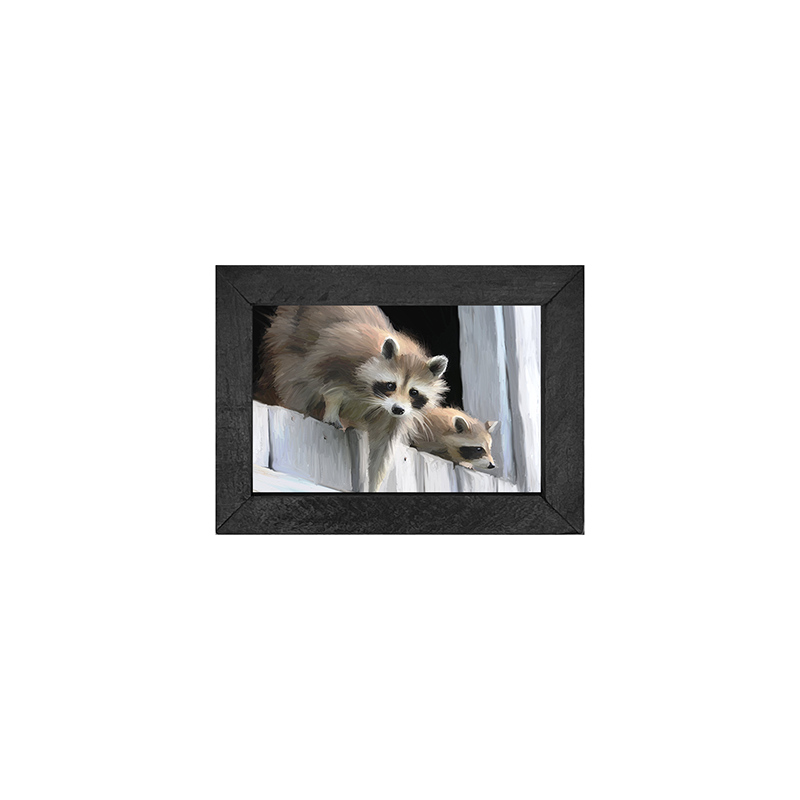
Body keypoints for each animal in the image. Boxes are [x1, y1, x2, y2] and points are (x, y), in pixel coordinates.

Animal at [258, 305, 449, 492]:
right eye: (390, 386)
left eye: (414, 392)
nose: (398, 409)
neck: (375, 397)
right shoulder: (341, 354)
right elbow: (331, 385)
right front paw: (332, 408)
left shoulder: (393, 416)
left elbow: (382, 447)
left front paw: (374, 483)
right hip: (285, 346)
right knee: (296, 385)